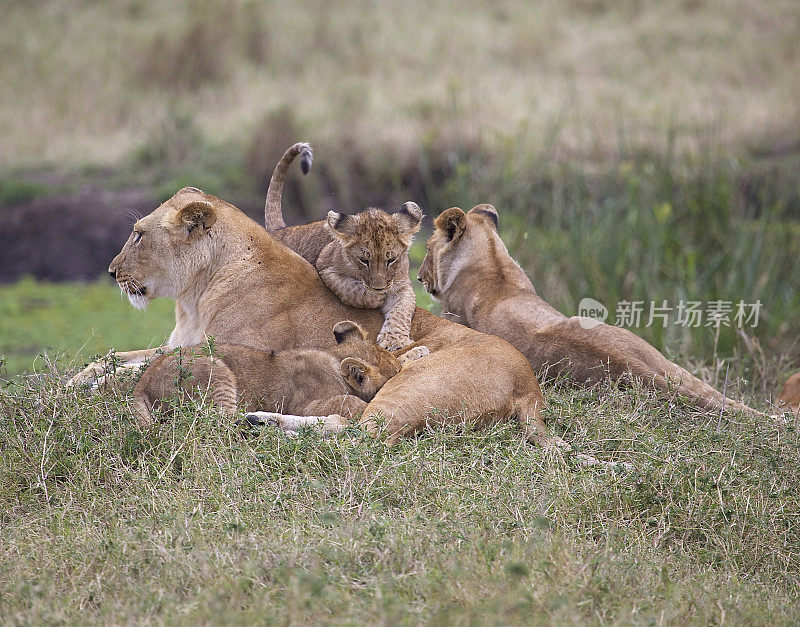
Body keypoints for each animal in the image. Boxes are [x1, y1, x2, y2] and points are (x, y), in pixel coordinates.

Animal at [134, 322, 428, 430]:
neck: (334, 358)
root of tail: (141, 385)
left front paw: (418, 353)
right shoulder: (306, 404)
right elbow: (350, 402)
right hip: (214, 368)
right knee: (219, 423)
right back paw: (261, 422)